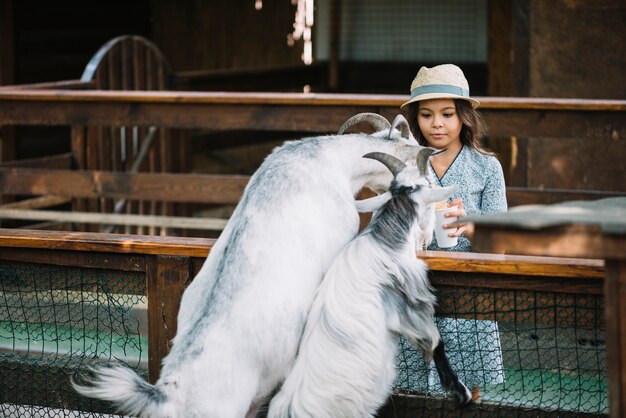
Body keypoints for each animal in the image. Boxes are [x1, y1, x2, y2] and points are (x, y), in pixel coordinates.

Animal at [266, 150, 468, 418]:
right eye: (430, 185)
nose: (428, 236)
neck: (384, 242)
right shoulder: (411, 304)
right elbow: (436, 341)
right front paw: (460, 391)